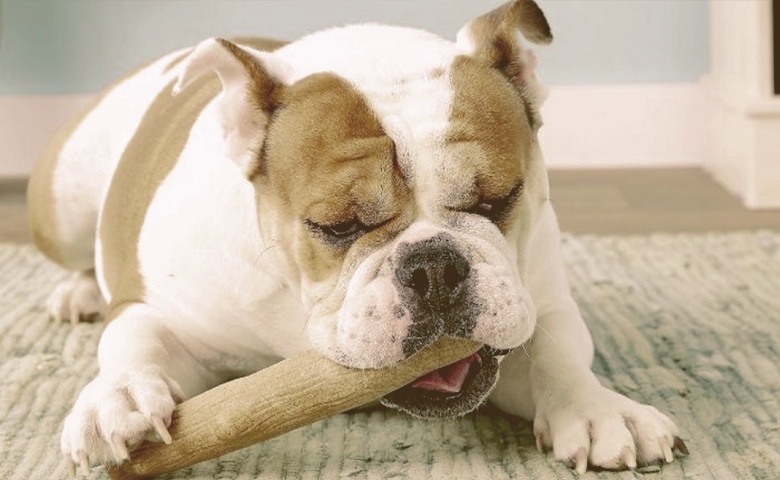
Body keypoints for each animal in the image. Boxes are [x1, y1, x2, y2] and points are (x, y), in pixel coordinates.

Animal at [27, 0, 684, 474]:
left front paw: (598, 408)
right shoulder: (169, 312)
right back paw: (78, 294)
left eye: (496, 199)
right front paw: (118, 398)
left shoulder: (539, 300)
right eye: (337, 226)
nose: (433, 266)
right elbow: (135, 338)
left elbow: (557, 350)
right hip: (61, 208)